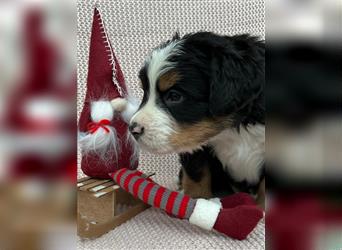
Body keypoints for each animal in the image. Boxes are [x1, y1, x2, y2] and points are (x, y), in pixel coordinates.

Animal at [128, 32, 264, 205]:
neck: (234, 128)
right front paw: (197, 201)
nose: (133, 129)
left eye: (175, 96)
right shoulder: (194, 143)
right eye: (145, 93)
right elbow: (196, 174)